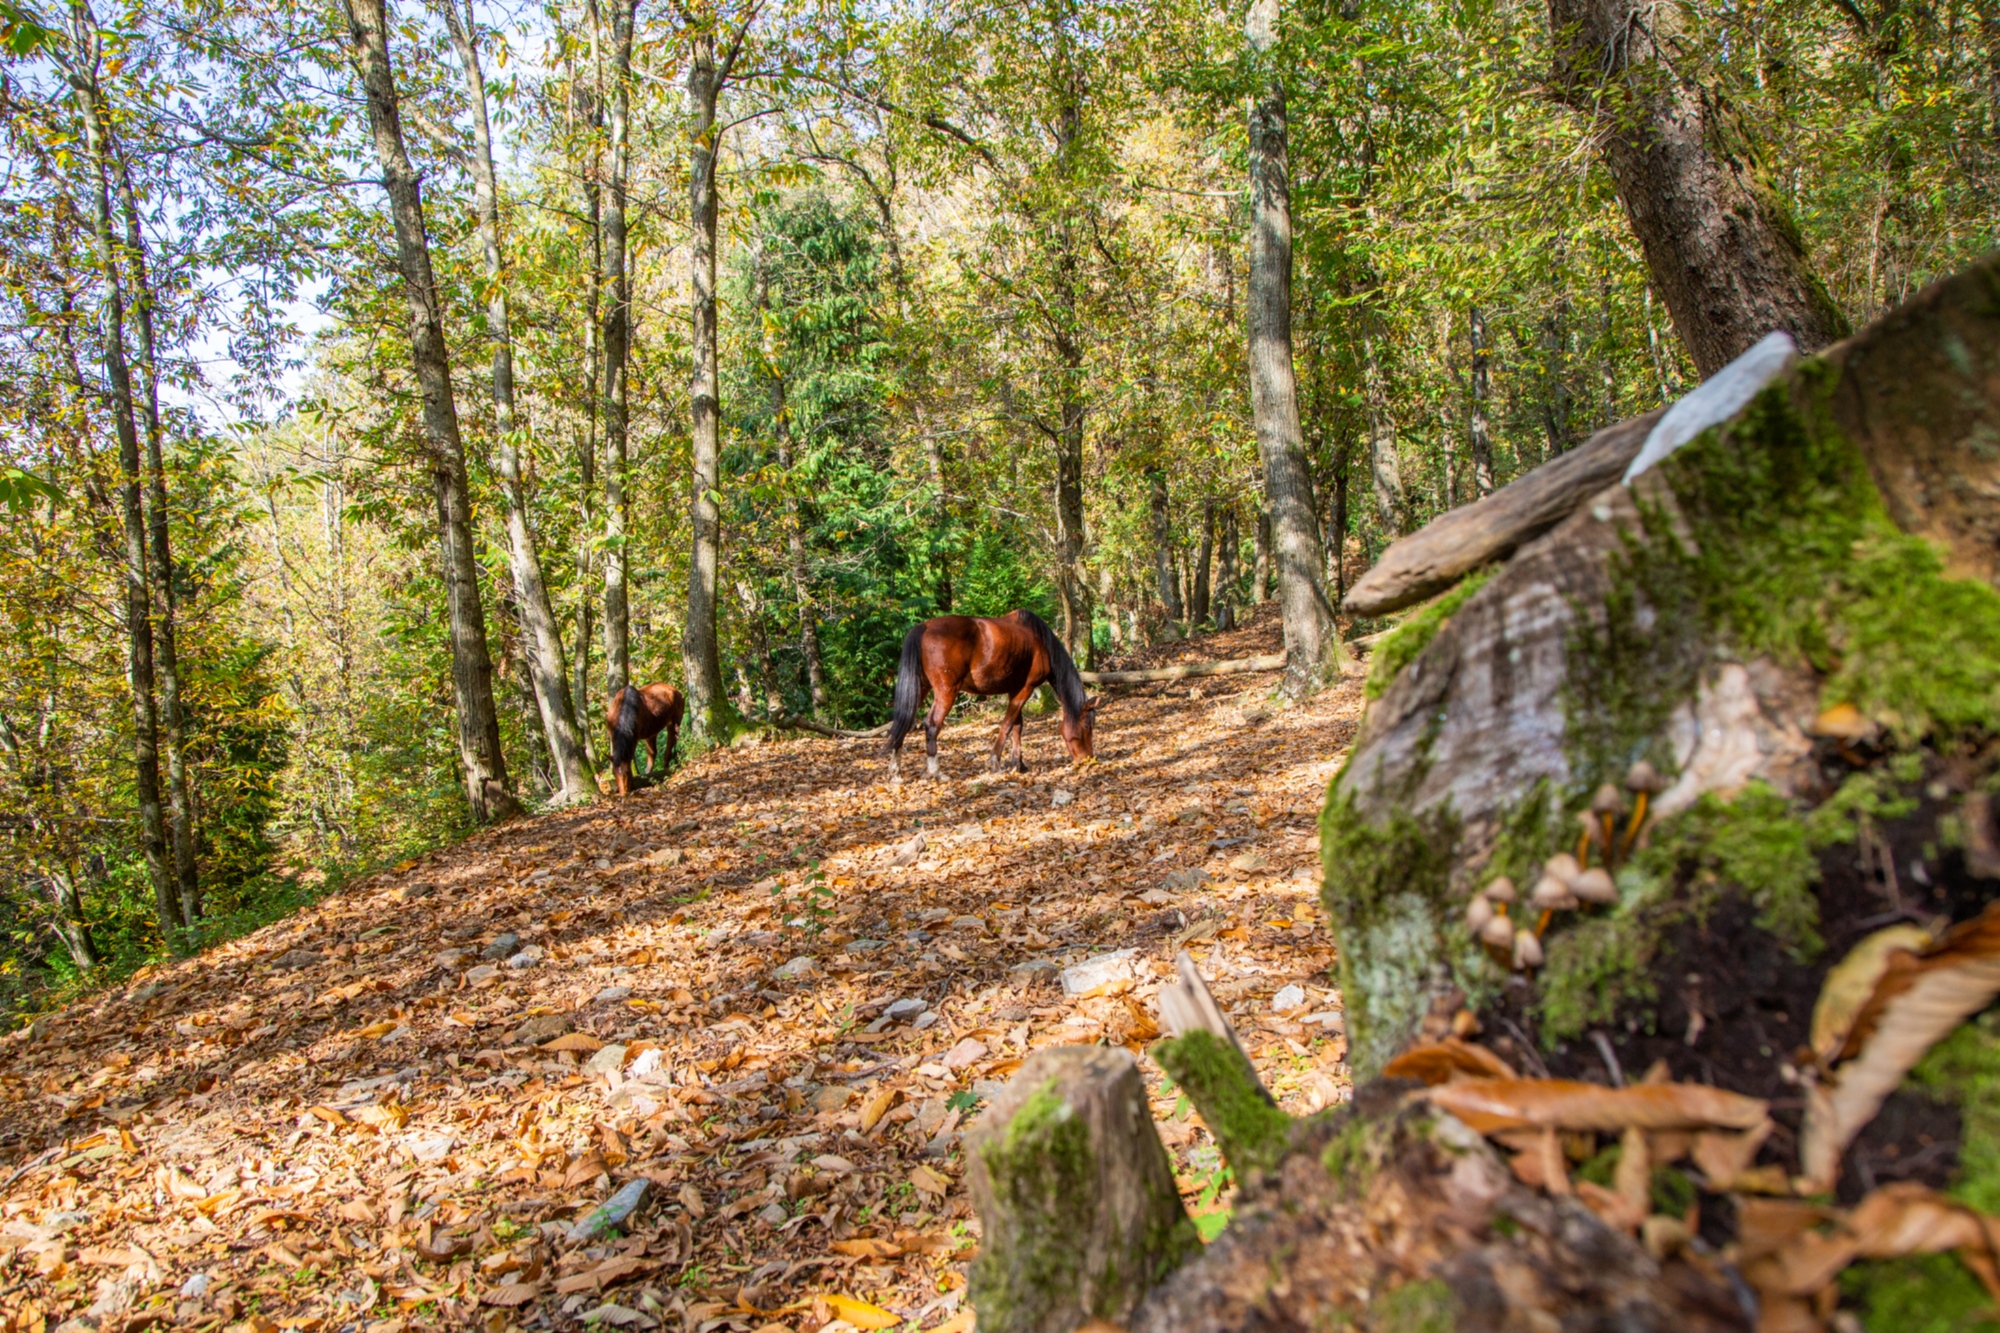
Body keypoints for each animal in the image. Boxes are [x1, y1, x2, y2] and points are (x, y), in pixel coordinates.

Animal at [888, 604, 1104, 780]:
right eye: (1087, 725)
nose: (1088, 760)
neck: (1040, 641)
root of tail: (923, 627)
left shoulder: (1015, 689)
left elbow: (1017, 726)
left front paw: (1019, 764)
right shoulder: (1025, 688)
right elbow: (1007, 725)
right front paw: (996, 763)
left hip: (921, 688)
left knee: (903, 721)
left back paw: (895, 773)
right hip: (946, 691)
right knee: (932, 724)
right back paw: (936, 772)